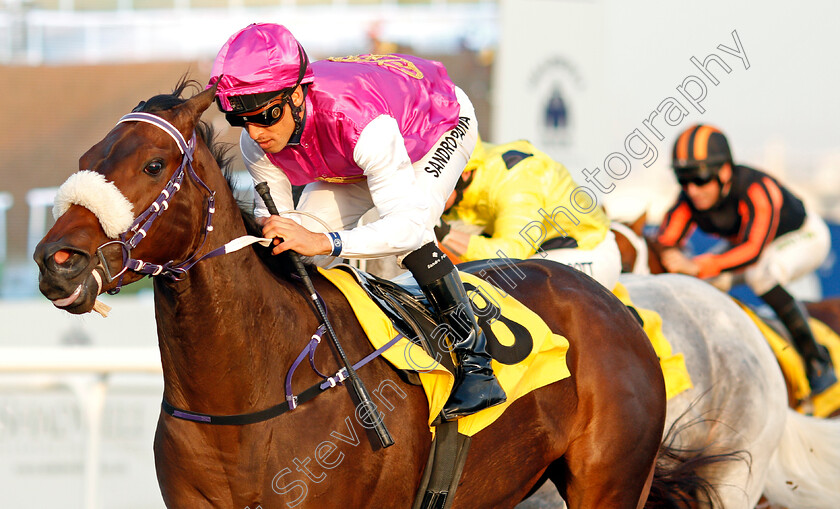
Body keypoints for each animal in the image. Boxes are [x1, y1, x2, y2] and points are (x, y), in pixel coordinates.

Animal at [32, 81, 704, 506]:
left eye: (152, 165)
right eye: (90, 156)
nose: (55, 261)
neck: (246, 399)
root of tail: (613, 304)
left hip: (610, 481)